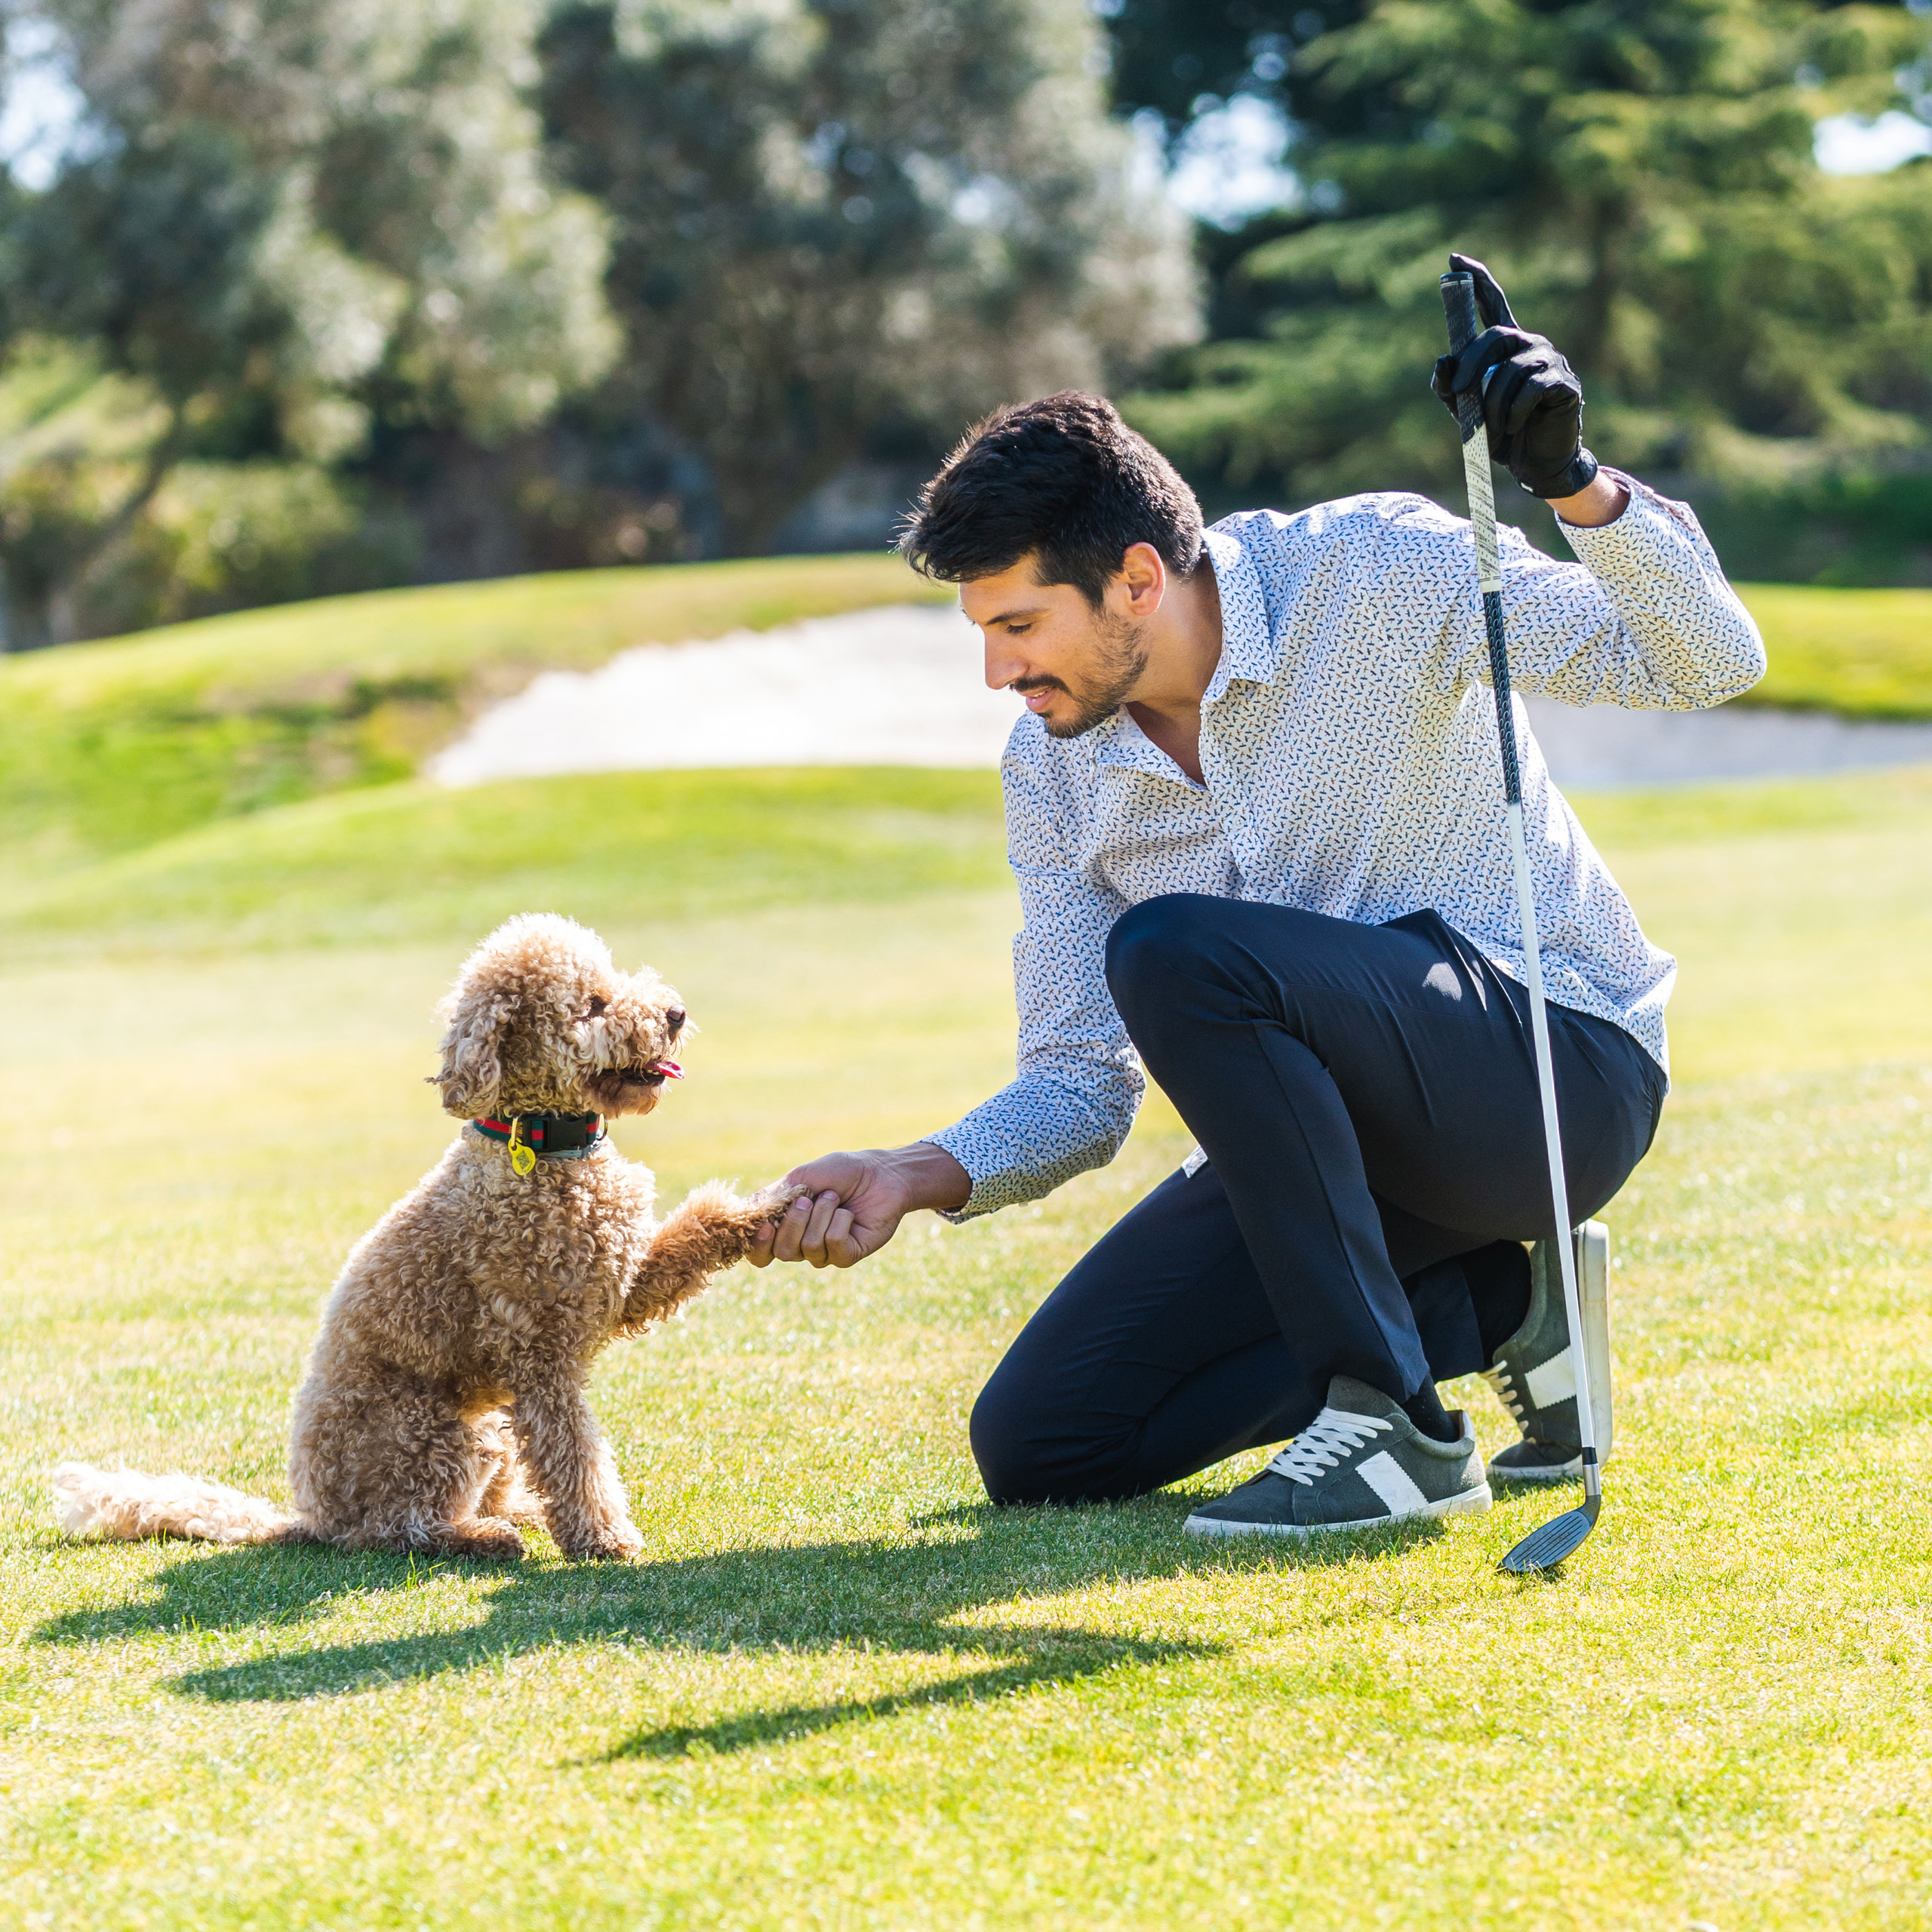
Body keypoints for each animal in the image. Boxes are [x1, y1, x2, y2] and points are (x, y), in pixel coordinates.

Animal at [53, 912, 795, 1561]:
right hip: (432, 1431)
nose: (674, 1013)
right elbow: (573, 1455)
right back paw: (482, 1537)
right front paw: (602, 1537)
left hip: (487, 1424)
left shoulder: (618, 1285)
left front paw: (770, 1208)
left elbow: (697, 1230)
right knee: (395, 1530)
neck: (542, 1148)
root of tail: (310, 1518)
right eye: (592, 1003)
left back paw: (514, 1511)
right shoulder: (542, 1354)